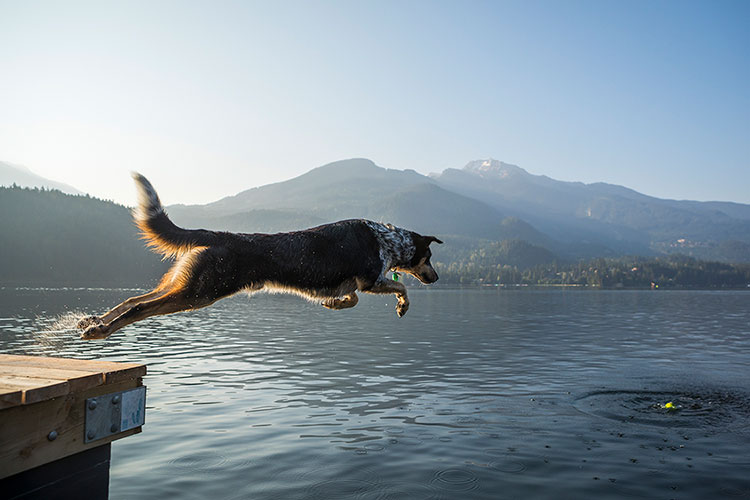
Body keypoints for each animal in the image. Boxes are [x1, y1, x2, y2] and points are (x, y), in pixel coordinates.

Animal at [78, 173, 440, 340]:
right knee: (140, 308)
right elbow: (400, 288)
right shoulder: (370, 280)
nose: (437, 278)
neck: (387, 240)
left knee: (133, 298)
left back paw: (93, 321)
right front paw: (402, 306)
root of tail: (221, 235)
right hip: (200, 293)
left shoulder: (352, 284)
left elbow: (348, 300)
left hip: (187, 284)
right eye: (430, 257)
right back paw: (100, 330)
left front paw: (334, 304)